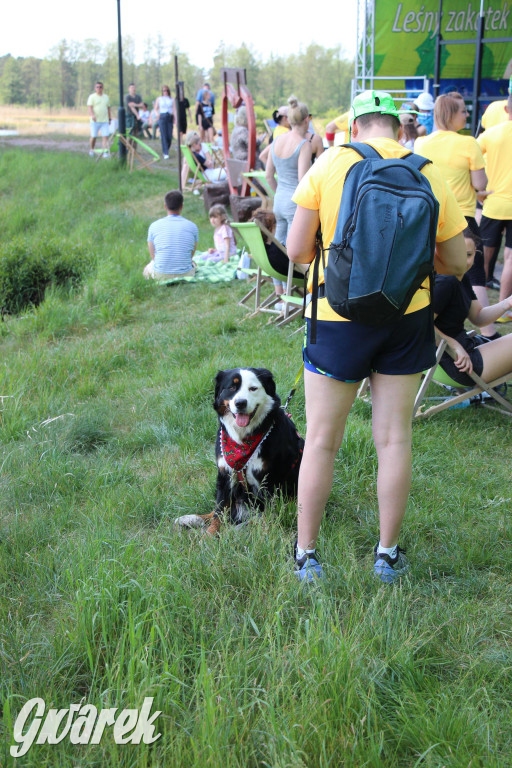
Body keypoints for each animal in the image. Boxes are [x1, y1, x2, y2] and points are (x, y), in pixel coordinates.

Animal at [176, 366, 304, 536]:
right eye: (231, 387)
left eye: (253, 388)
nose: (240, 403)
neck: (242, 440)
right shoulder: (225, 473)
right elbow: (219, 511)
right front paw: (210, 535)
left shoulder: (269, 480)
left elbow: (268, 515)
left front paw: (262, 532)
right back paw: (191, 519)